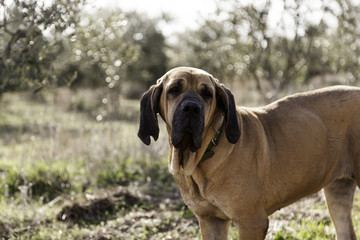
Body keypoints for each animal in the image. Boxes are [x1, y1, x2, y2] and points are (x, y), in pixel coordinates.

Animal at [137, 66, 360, 239]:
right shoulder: (211, 221)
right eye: (174, 90)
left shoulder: (251, 222)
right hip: (337, 191)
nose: (192, 108)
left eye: (207, 93)